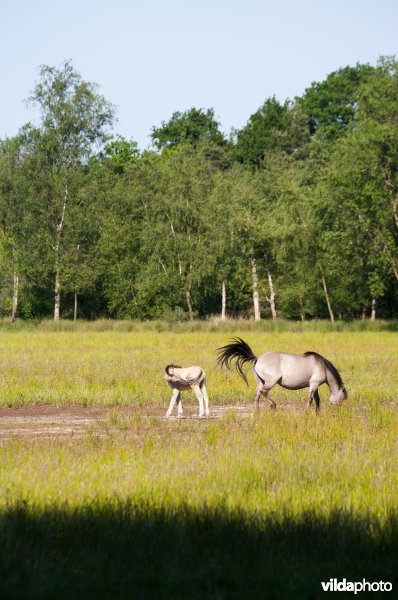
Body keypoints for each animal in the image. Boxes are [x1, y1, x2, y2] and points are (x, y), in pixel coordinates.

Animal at [216, 338, 346, 412]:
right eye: (342, 399)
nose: (339, 411)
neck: (322, 366)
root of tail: (258, 358)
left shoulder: (314, 385)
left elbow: (317, 399)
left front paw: (317, 412)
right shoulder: (314, 383)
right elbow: (310, 399)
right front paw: (307, 411)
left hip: (261, 382)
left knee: (257, 395)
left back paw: (257, 412)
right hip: (270, 381)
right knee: (264, 392)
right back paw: (273, 405)